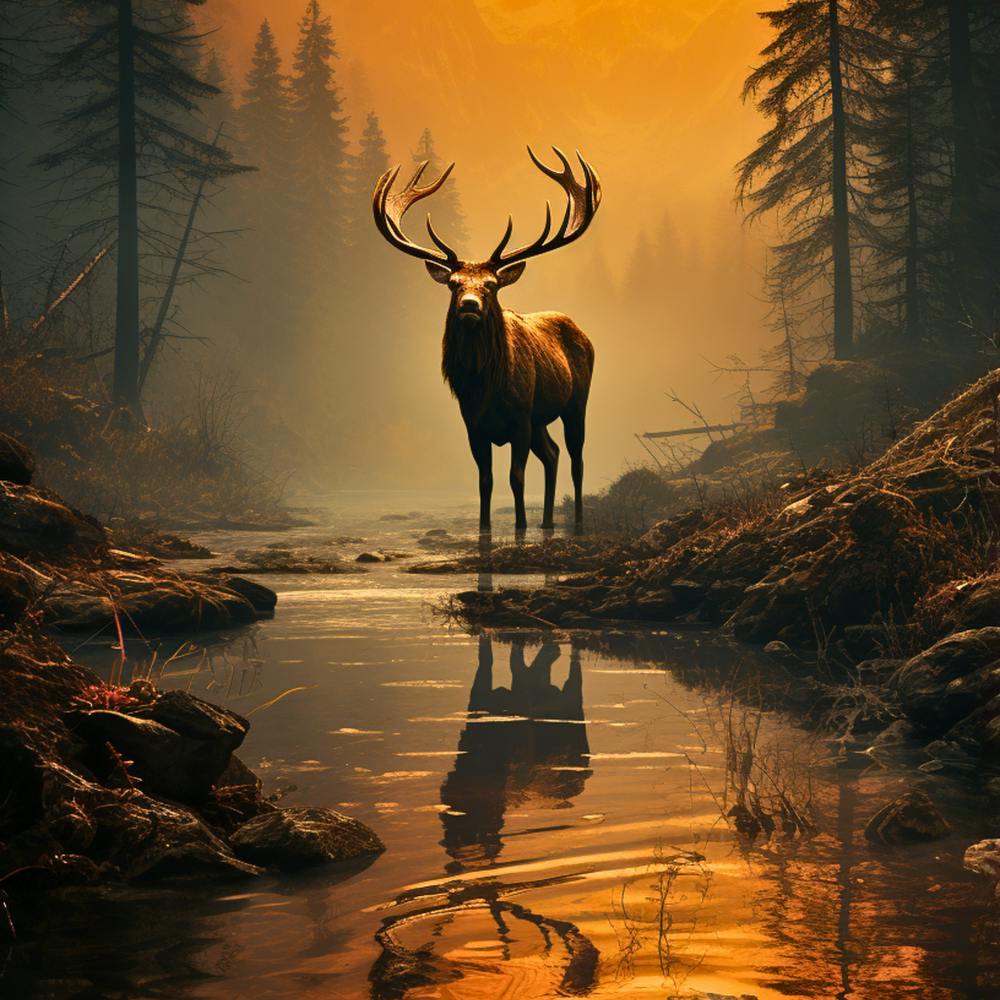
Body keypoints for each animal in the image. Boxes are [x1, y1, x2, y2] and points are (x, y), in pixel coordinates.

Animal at [372, 147, 601, 533]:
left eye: (491, 285)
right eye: (454, 284)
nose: (469, 305)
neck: (486, 387)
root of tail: (583, 334)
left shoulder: (521, 417)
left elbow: (516, 477)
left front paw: (520, 527)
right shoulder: (474, 424)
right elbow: (485, 481)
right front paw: (485, 529)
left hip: (576, 402)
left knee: (576, 459)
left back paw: (578, 522)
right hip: (541, 419)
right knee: (552, 453)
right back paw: (547, 523)